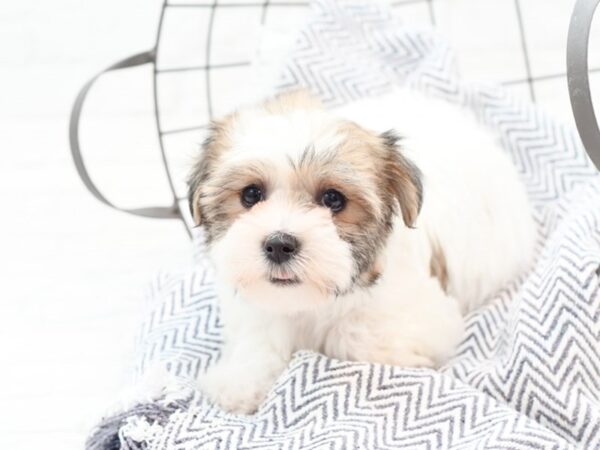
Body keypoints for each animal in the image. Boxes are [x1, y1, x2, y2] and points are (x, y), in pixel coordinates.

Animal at [188, 89, 536, 414]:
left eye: (333, 199)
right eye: (251, 195)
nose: (279, 244)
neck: (312, 303)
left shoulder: (427, 315)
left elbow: (352, 332)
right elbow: (262, 332)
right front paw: (241, 381)